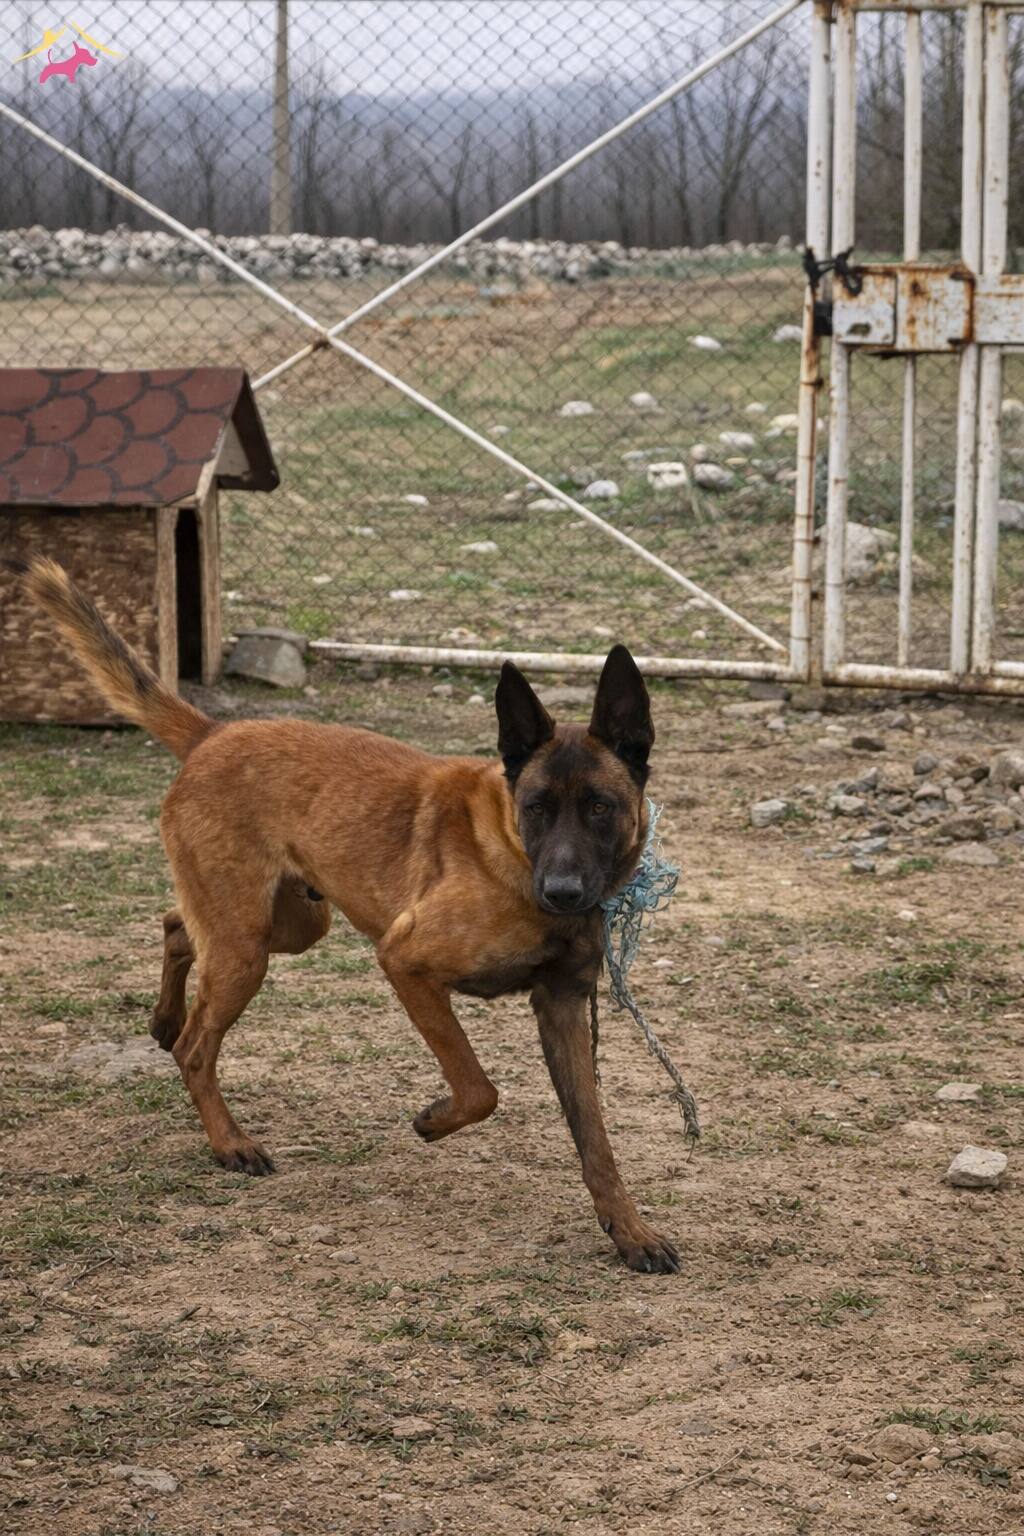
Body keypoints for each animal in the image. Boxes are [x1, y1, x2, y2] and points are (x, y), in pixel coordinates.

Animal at [22, 558, 679, 1273]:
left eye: (599, 807)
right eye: (536, 807)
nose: (562, 892)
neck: (510, 848)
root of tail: (213, 733)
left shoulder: (562, 1009)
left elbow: (596, 1139)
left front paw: (630, 1230)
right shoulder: (406, 961)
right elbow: (479, 1087)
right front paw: (432, 1119)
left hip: (287, 926)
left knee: (177, 928)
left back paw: (165, 1019)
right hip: (250, 948)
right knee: (199, 1044)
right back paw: (229, 1141)